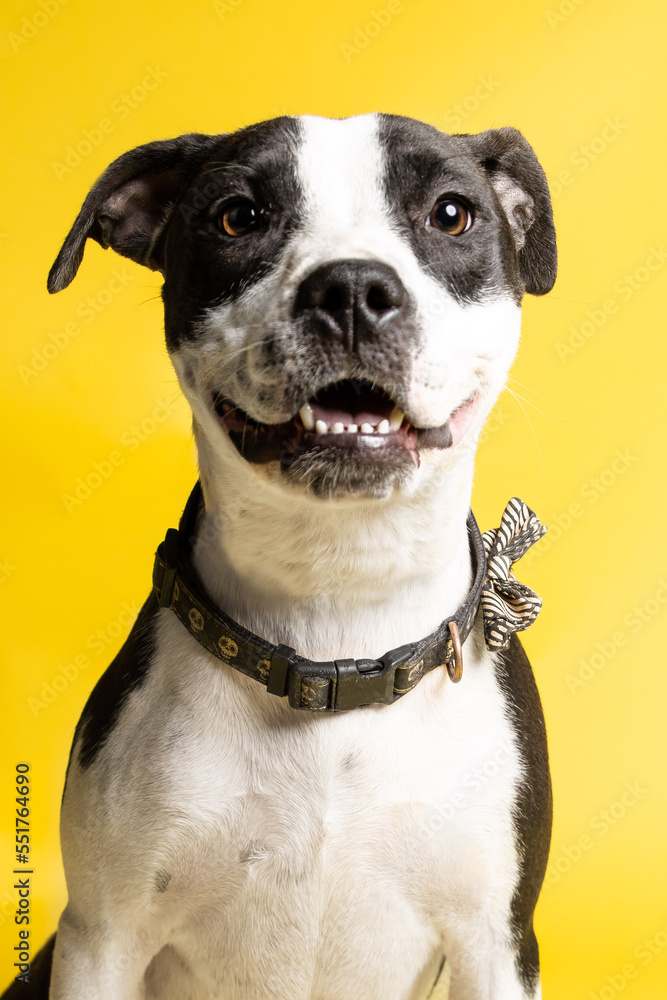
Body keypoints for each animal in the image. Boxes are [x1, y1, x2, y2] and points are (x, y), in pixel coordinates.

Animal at [9, 113, 560, 996]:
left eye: (450, 214)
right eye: (238, 217)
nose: (353, 289)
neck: (338, 600)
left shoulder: (497, 946)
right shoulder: (100, 939)